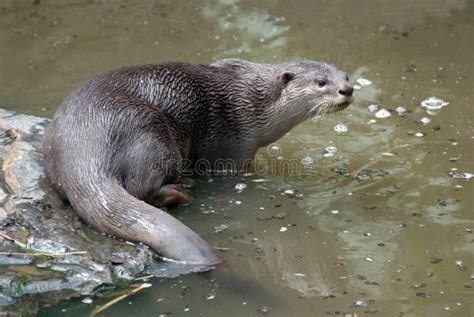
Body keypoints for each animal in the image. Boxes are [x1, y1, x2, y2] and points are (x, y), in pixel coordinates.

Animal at [42, 58, 354, 266]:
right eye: (321, 83)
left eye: (346, 76)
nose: (347, 90)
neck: (253, 107)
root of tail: (85, 153)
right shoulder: (232, 146)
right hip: (151, 133)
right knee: (140, 188)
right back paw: (178, 193)